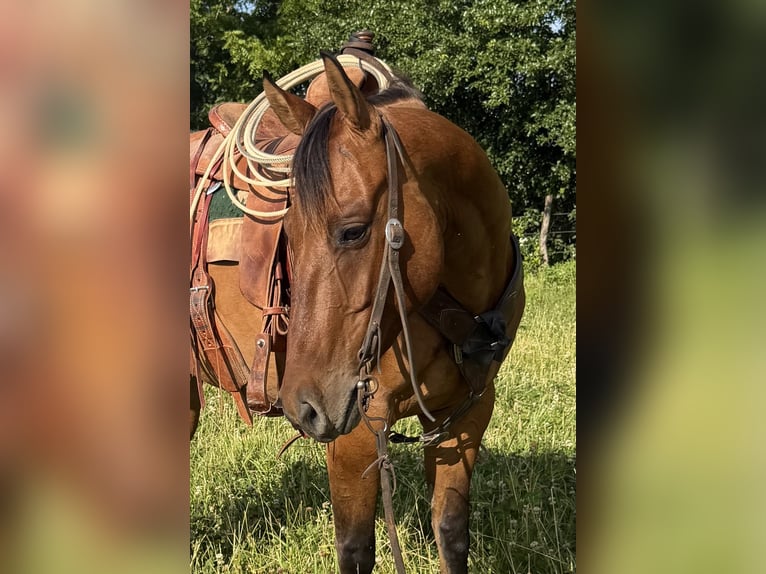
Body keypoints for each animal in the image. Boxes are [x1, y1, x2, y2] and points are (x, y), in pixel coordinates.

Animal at [191, 52, 525, 574]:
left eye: (352, 231)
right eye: (287, 232)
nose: (302, 407)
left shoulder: (468, 412)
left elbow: (451, 533)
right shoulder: (357, 429)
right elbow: (355, 549)